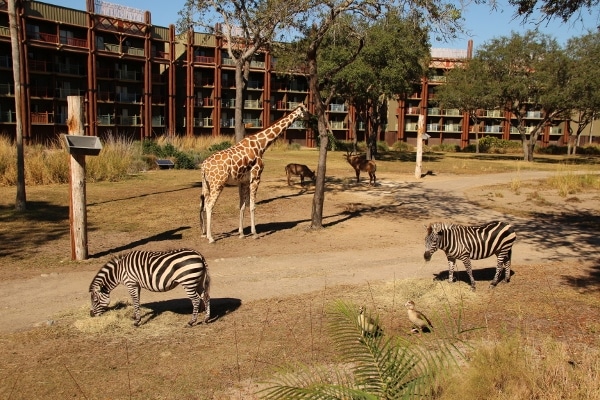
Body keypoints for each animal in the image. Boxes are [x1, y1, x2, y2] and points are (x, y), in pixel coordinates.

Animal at [200, 103, 308, 242]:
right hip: (217, 184)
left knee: (203, 205)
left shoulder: (243, 181)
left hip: (206, 184)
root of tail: (203, 166)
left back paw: (204, 233)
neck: (261, 145)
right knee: (209, 206)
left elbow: (242, 206)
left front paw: (241, 233)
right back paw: (211, 237)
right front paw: (254, 233)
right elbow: (252, 206)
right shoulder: (256, 177)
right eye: (306, 110)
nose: (311, 118)